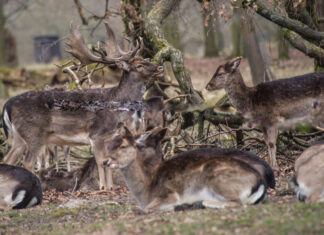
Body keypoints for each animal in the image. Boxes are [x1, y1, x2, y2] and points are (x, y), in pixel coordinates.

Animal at [1, 22, 165, 191]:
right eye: (139, 65)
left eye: (146, 59)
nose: (160, 68)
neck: (115, 108)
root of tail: (7, 104)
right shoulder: (96, 134)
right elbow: (101, 162)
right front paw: (102, 188)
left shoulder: (110, 137)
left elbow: (109, 161)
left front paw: (111, 187)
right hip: (34, 133)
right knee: (27, 162)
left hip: (19, 137)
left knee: (8, 159)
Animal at [103, 126, 268, 211]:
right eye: (109, 145)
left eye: (123, 146)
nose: (105, 161)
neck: (146, 190)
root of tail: (260, 183)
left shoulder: (169, 194)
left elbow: (149, 208)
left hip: (219, 179)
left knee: (237, 203)